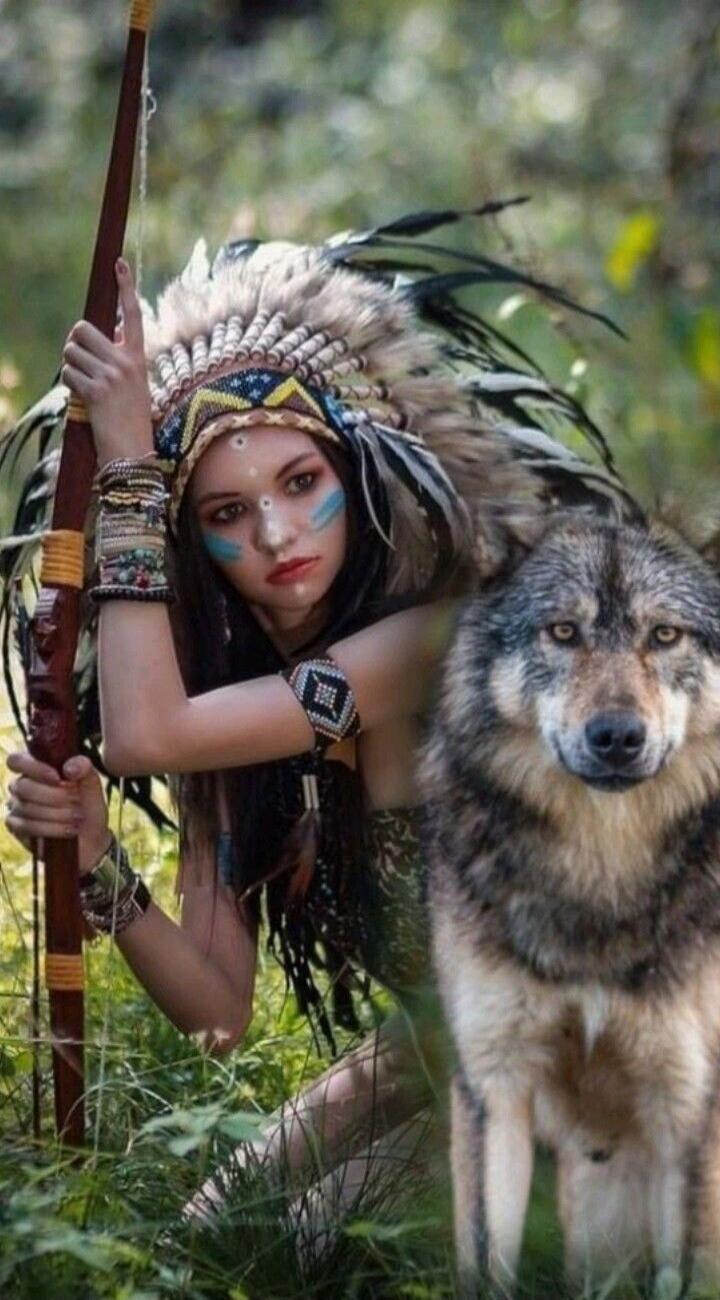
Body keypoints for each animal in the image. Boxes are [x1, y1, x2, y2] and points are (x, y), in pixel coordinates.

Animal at [420, 514, 720, 1297]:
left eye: (664, 635)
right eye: (562, 631)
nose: (616, 737)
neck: (600, 876)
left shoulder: (688, 1107)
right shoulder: (493, 1084)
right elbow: (485, 1265)